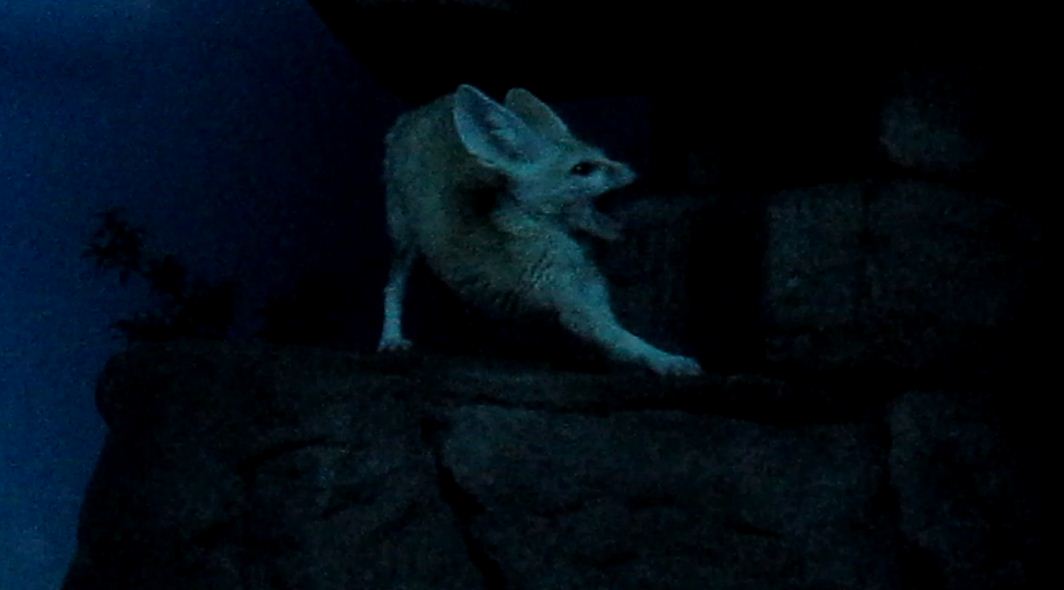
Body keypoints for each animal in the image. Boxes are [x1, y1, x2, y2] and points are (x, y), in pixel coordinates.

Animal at [376, 84, 702, 377]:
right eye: (582, 169)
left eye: (604, 156)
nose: (634, 174)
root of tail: (415, 112)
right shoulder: (573, 302)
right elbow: (625, 341)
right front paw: (668, 361)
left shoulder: (584, 289)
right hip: (403, 238)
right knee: (393, 285)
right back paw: (391, 338)